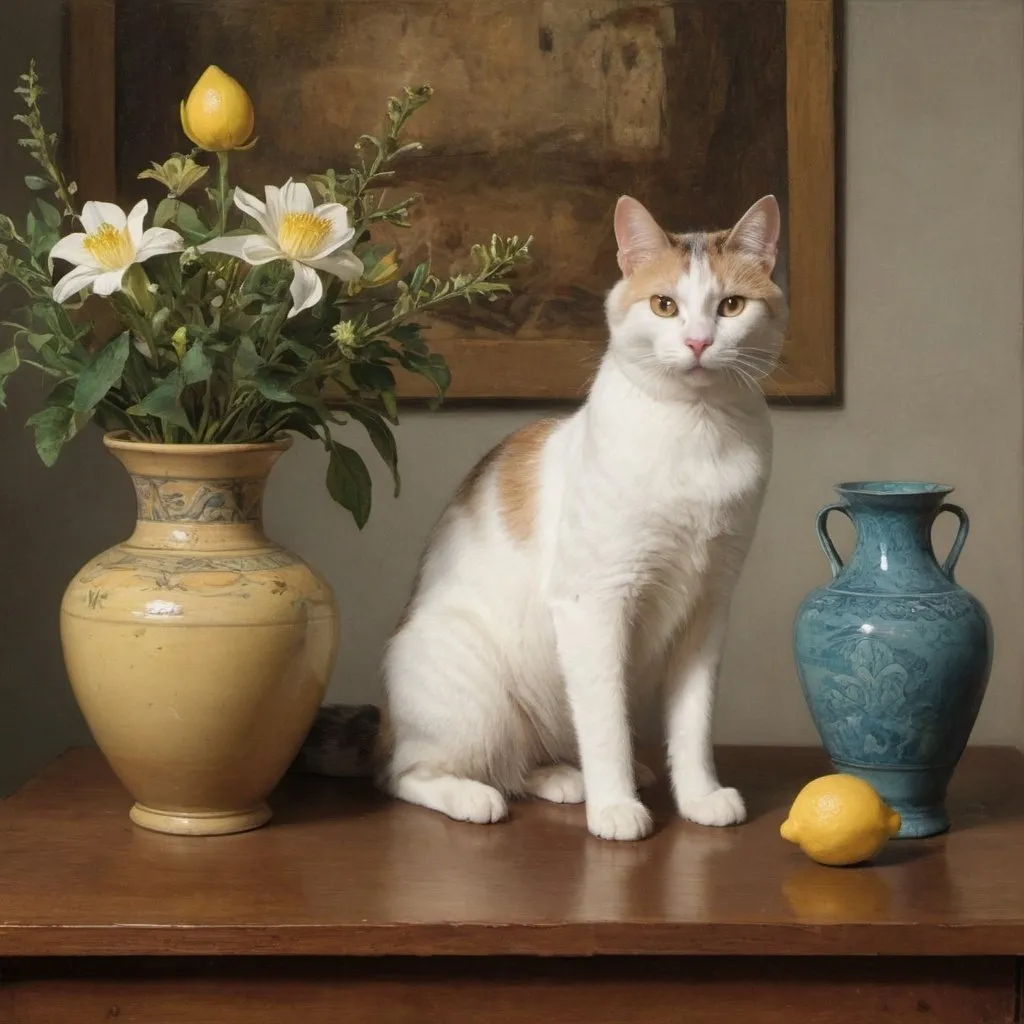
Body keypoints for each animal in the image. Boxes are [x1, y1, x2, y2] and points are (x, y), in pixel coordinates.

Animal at [380, 192, 786, 839]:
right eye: (665, 305)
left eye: (731, 305)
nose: (699, 342)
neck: (697, 432)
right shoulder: (593, 603)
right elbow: (607, 724)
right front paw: (616, 807)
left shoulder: (709, 607)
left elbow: (692, 723)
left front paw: (698, 796)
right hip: (474, 690)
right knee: (411, 774)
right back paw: (476, 797)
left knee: (521, 763)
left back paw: (564, 779)